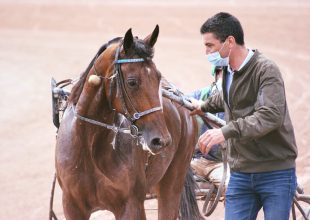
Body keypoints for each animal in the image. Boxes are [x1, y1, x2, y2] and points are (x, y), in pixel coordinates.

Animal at [54, 24, 202, 219]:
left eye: (158, 77)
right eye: (132, 82)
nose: (161, 140)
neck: (89, 144)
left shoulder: (131, 205)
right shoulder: (72, 206)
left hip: (172, 184)